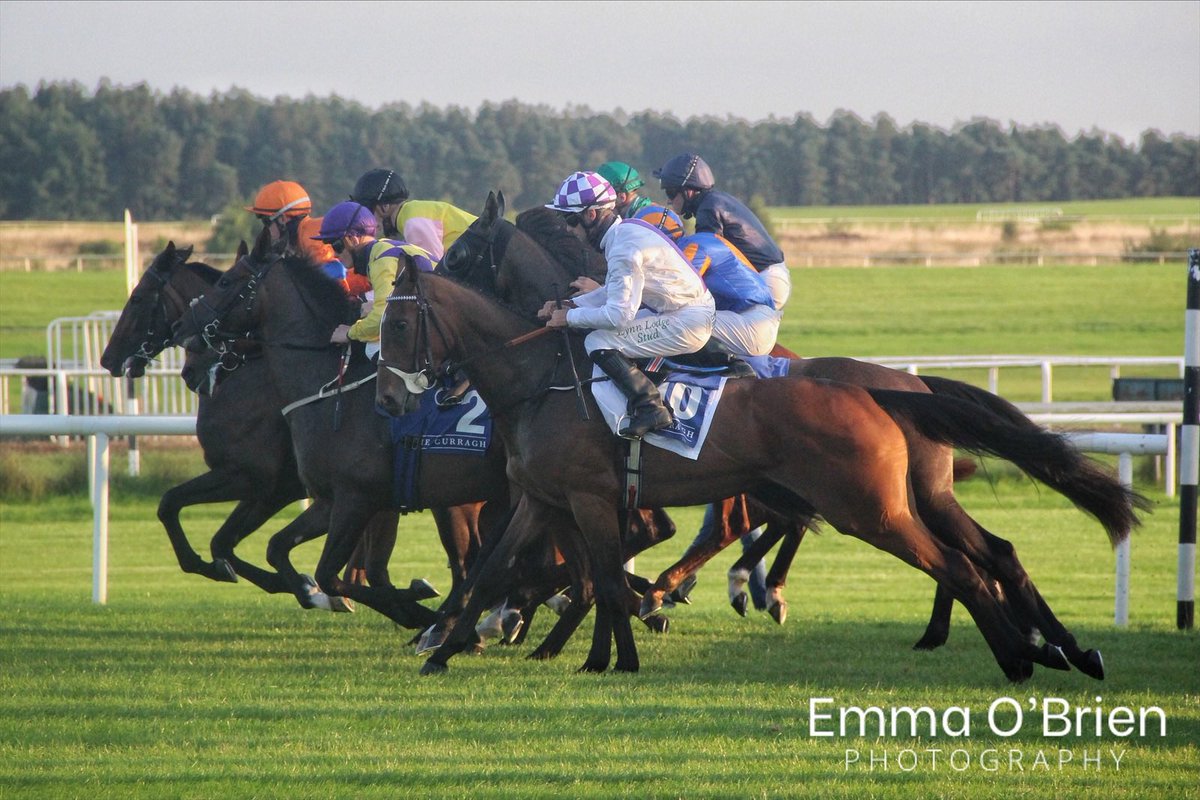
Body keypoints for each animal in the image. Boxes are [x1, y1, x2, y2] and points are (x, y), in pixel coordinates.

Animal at [374, 262, 1142, 681]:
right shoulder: (543, 498)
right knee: (988, 555)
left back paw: (1018, 656)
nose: (386, 399)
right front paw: (443, 648)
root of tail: (885, 389)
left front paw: (610, 657)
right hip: (901, 500)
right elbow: (491, 570)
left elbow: (604, 578)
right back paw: (1051, 651)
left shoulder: (590, 498)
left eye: (398, 326)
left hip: (868, 507)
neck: (542, 382)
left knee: (959, 566)